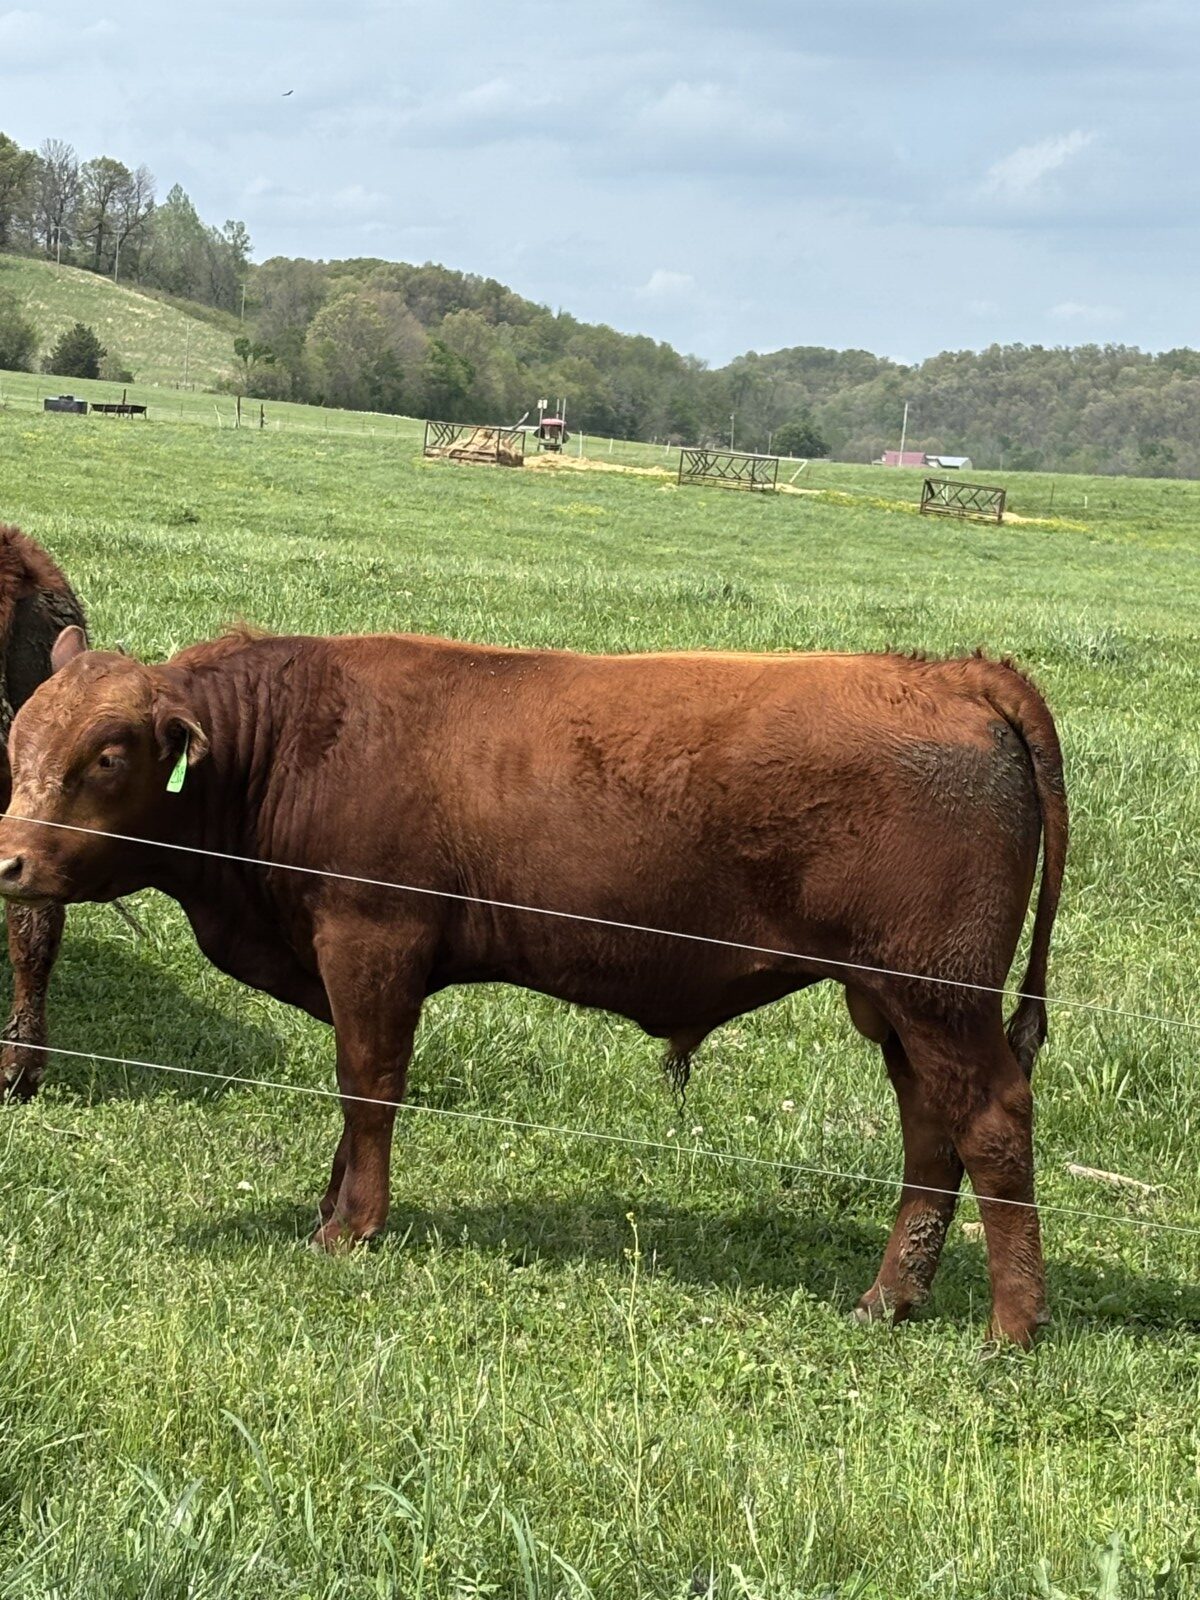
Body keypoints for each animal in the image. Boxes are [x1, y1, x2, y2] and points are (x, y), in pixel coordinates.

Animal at [0, 627, 1066, 1344]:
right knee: (930, 1136)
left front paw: (352, 1228)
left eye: (108, 756)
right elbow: (353, 1096)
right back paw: (892, 1298)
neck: (292, 744)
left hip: (936, 992)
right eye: (19, 744)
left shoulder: (371, 940)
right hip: (894, 1001)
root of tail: (955, 674)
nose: (6, 861)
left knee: (992, 1125)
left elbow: (368, 1087)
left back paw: (1011, 1327)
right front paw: (328, 1208)